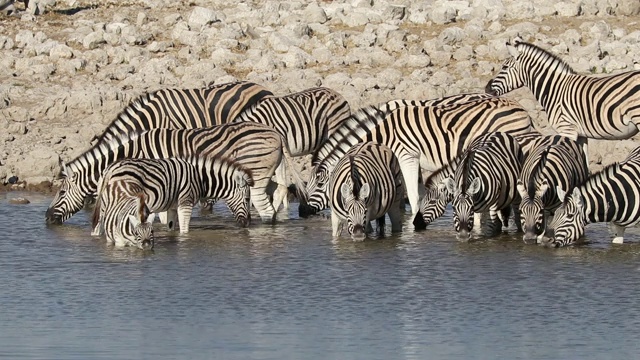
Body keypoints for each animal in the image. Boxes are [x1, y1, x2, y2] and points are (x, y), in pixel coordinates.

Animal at [44, 122, 304, 226]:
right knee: (279, 191)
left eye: (61, 191)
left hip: (256, 177)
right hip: (264, 176)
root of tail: (275, 133)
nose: (46, 218)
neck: (133, 151)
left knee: (266, 209)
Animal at [302, 95, 532, 218]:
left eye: (320, 185)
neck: (385, 132)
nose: (303, 212)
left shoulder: (407, 156)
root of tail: (522, 109)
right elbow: (415, 194)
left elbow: (413, 196)